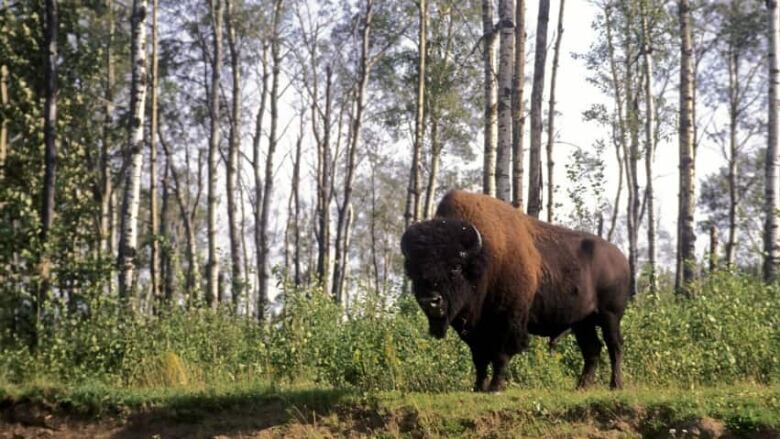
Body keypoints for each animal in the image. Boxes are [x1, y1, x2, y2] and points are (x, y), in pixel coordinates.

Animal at [400, 192, 632, 392]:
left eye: (456, 266)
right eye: (415, 270)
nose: (431, 300)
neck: (484, 259)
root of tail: (621, 258)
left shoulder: (508, 321)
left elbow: (500, 355)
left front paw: (495, 388)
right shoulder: (475, 331)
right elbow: (479, 359)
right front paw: (478, 387)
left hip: (610, 316)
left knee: (614, 346)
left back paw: (616, 385)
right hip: (582, 322)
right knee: (593, 349)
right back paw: (581, 386)